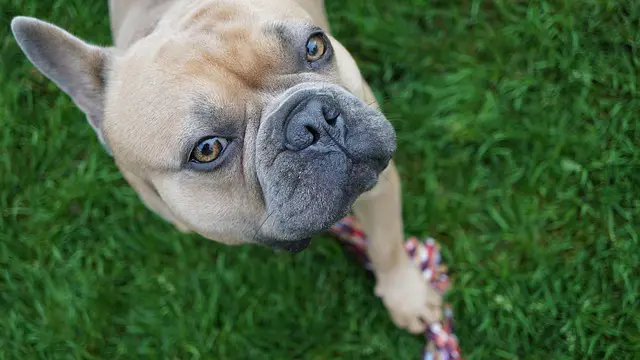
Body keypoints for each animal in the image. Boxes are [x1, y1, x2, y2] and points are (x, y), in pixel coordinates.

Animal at [11, 0, 440, 334]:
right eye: (207, 150)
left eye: (315, 46)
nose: (311, 119)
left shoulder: (380, 184)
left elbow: (387, 245)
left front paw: (408, 298)